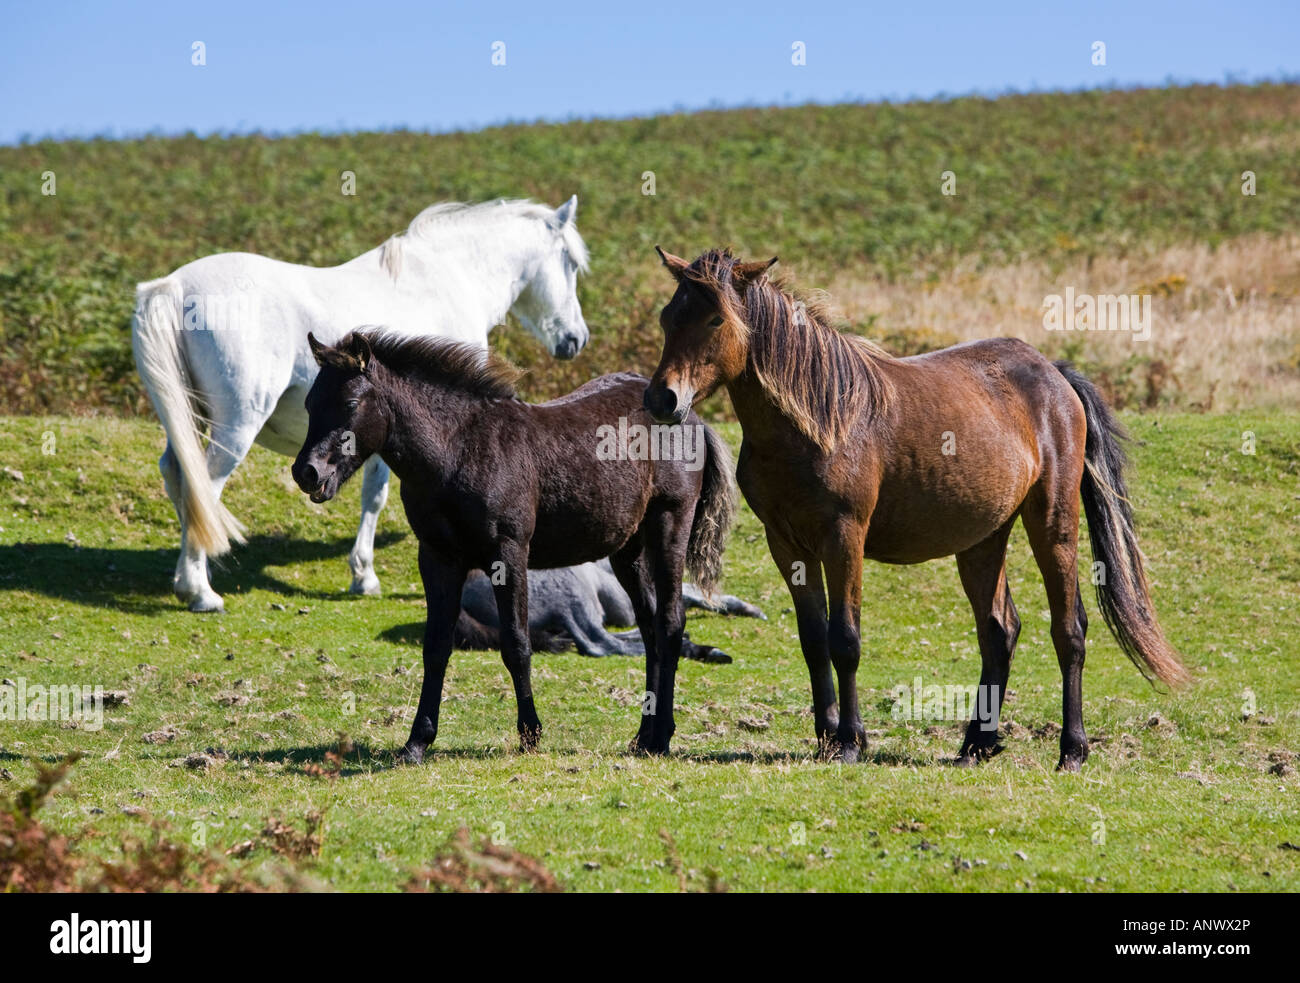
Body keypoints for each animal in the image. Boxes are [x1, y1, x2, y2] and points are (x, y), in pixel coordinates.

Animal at [131, 196, 590, 611]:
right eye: (569, 261)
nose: (576, 338)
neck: (445, 277)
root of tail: (175, 286)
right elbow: (376, 497)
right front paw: (364, 575)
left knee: (178, 477)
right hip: (235, 428)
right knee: (204, 486)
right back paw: (200, 591)